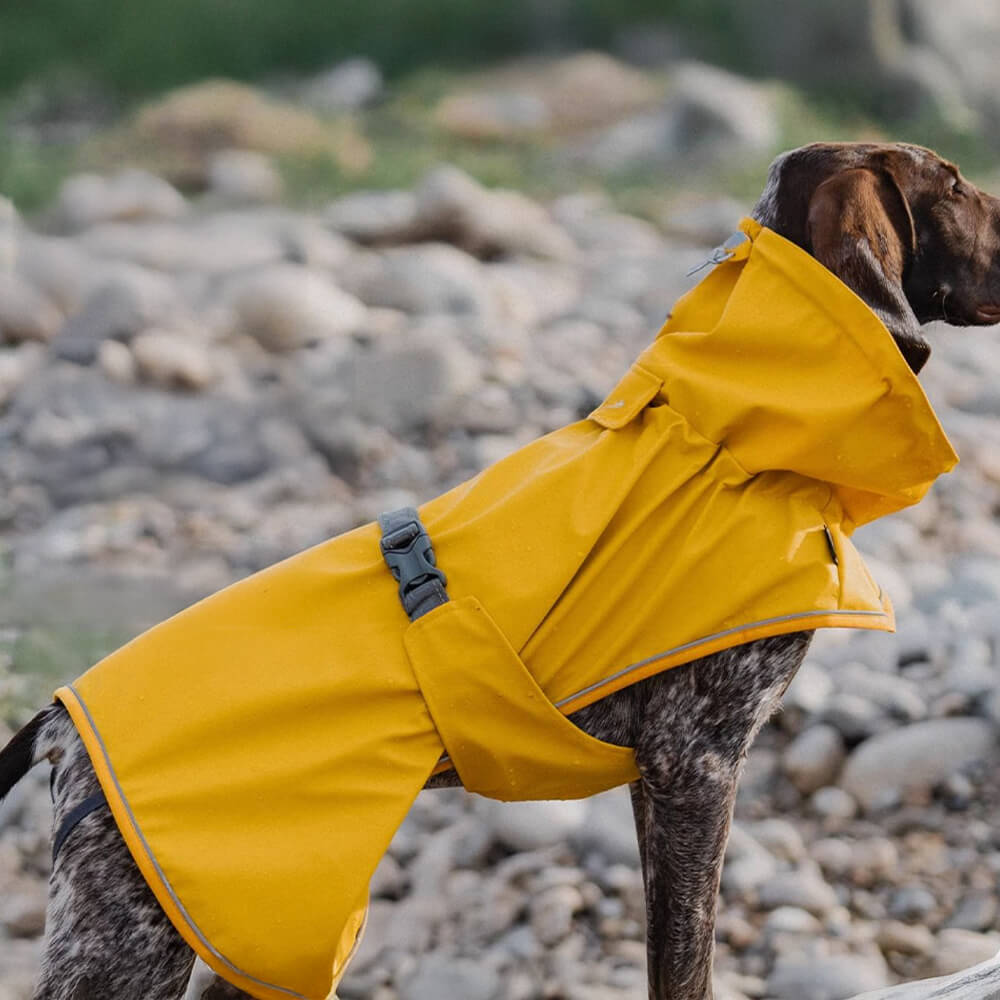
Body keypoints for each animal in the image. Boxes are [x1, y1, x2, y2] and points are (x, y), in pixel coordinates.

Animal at [5, 143, 1000, 1000]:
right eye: (953, 185)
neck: (728, 436)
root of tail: (59, 721)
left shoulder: (666, 781)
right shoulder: (696, 765)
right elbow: (684, 966)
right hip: (137, 937)